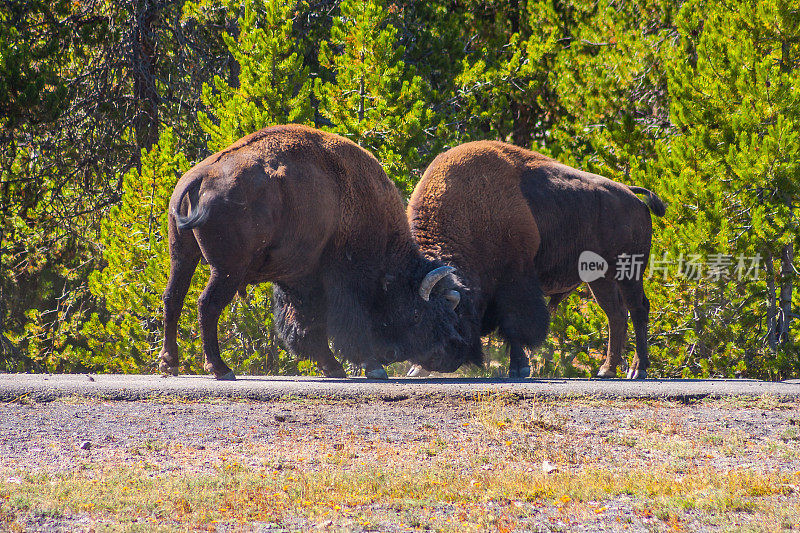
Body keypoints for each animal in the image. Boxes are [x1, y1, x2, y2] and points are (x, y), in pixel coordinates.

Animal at [159, 124, 466, 380]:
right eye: (417, 314)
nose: (446, 357)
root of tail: (200, 176)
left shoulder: (298, 279)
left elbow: (306, 325)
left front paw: (333, 368)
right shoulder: (344, 279)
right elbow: (344, 323)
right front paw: (372, 368)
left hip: (182, 257)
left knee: (173, 298)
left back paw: (169, 364)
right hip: (227, 269)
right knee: (206, 305)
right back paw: (220, 369)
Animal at [406, 140, 664, 378]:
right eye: (415, 317)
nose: (434, 361)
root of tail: (632, 195)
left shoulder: (515, 281)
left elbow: (515, 325)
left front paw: (519, 368)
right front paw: (416, 370)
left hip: (629, 270)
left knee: (637, 309)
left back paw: (637, 370)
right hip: (599, 278)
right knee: (615, 314)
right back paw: (606, 370)